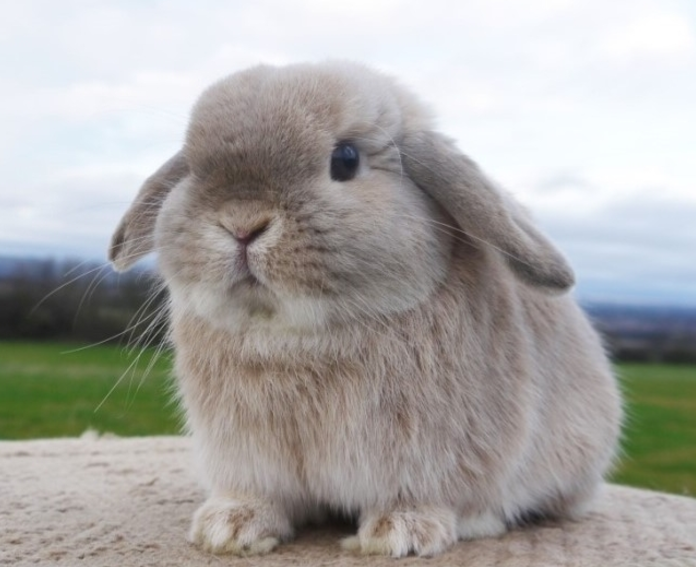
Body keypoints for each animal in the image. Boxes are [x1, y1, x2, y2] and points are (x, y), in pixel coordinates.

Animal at [110, 62, 624, 560]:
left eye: (346, 159)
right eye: (192, 169)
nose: (241, 224)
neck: (292, 333)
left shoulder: (429, 456)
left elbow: (422, 495)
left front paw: (401, 533)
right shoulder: (249, 457)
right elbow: (261, 495)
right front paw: (230, 528)